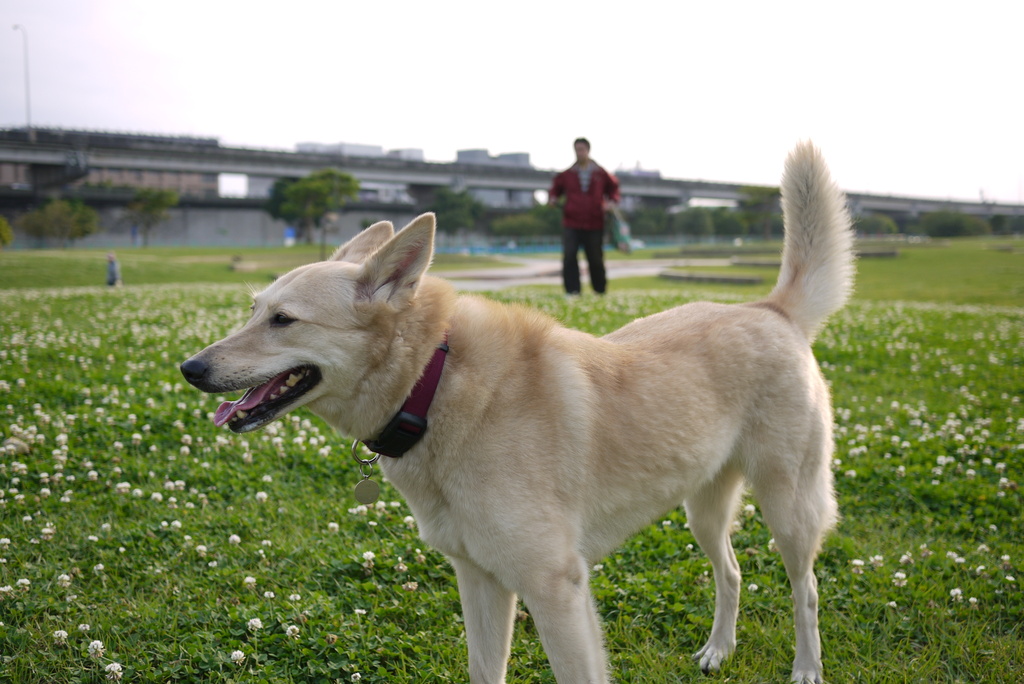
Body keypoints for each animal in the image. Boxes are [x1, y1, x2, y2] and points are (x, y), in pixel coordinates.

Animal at [182, 141, 856, 679]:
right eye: (253, 309)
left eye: (283, 320)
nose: (190, 369)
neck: (432, 387)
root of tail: (772, 308)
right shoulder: (479, 579)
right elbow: (486, 671)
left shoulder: (555, 589)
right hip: (703, 507)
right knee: (732, 572)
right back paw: (719, 650)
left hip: (789, 507)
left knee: (808, 591)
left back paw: (807, 668)